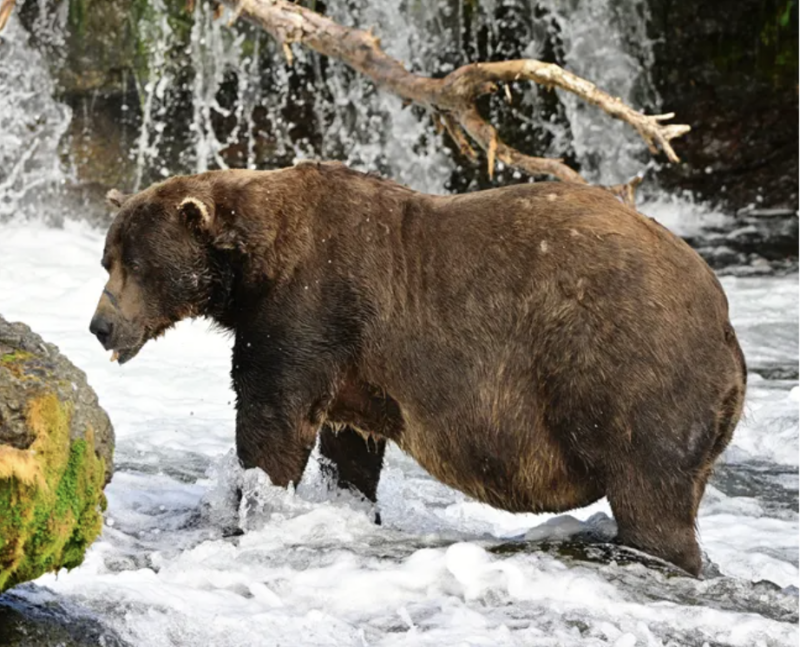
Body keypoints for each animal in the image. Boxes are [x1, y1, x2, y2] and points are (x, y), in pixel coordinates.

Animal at [89, 162, 746, 576]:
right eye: (107, 258)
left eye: (136, 264)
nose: (100, 325)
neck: (255, 266)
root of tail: (724, 322)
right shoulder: (353, 364)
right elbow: (349, 446)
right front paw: (349, 505)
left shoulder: (310, 306)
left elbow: (271, 421)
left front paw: (246, 507)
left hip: (631, 371)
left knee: (651, 496)